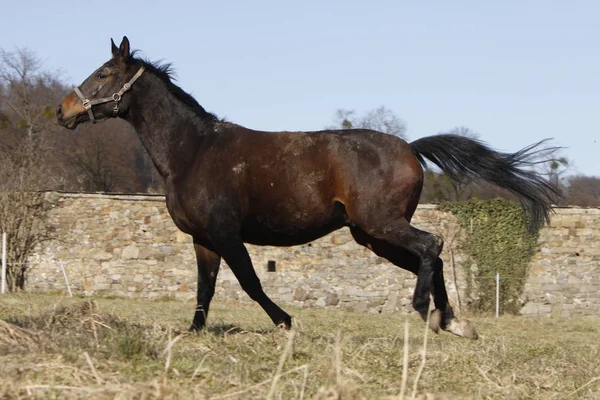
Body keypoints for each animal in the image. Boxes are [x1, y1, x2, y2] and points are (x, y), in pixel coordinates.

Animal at [56, 37, 556, 340]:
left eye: (103, 73)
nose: (63, 112)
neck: (193, 151)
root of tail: (410, 149)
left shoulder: (225, 233)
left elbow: (251, 282)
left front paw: (286, 321)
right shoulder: (203, 240)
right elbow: (205, 290)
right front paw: (194, 334)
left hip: (380, 225)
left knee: (432, 245)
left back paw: (427, 313)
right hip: (371, 235)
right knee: (426, 258)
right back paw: (450, 321)